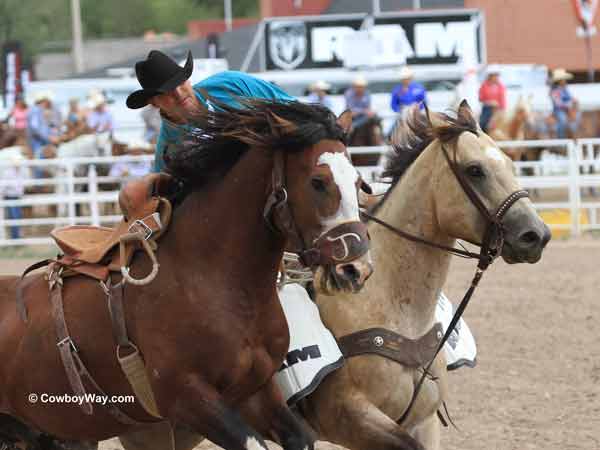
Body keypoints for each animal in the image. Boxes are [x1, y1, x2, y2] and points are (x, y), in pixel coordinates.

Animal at [0, 100, 372, 450]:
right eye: (318, 182)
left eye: (358, 181)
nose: (355, 267)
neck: (211, 277)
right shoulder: (189, 398)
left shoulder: (256, 391)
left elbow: (301, 437)